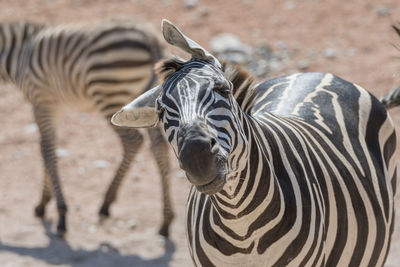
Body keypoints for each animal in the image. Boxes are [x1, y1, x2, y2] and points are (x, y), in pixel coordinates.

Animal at [0, 17, 174, 237]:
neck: (19, 55)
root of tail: (150, 38)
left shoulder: (41, 101)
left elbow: (46, 149)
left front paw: (60, 213)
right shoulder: (53, 105)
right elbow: (49, 146)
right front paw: (44, 203)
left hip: (110, 95)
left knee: (133, 140)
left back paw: (106, 203)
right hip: (145, 98)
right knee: (158, 146)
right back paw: (165, 221)